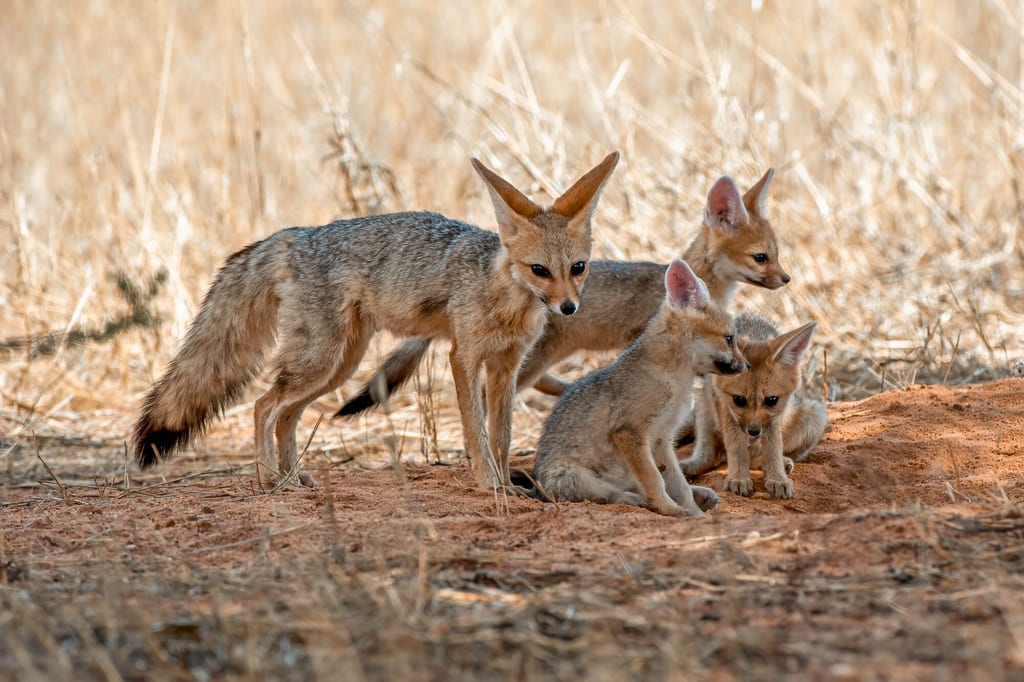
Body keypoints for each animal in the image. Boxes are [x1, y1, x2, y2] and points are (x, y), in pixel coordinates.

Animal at [132, 152, 620, 489]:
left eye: (577, 268)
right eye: (540, 271)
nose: (568, 308)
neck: (504, 298)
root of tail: (295, 235)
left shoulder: (506, 366)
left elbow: (500, 434)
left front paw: (506, 484)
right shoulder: (463, 357)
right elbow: (476, 431)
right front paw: (489, 484)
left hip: (337, 367)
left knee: (286, 415)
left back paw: (294, 478)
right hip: (320, 361)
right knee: (263, 406)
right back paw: (271, 480)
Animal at [530, 258, 748, 517]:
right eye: (730, 339)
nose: (747, 366)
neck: (675, 382)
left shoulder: (662, 439)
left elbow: (678, 484)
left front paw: (694, 512)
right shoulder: (630, 433)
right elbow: (655, 480)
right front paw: (671, 509)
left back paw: (700, 494)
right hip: (579, 478)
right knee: (609, 495)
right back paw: (636, 499)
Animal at [679, 312, 827, 499]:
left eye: (771, 400)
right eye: (738, 400)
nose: (754, 431)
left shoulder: (774, 417)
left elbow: (773, 448)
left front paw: (777, 478)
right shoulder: (726, 408)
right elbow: (736, 447)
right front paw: (739, 478)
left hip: (815, 417)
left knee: (754, 457)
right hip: (703, 407)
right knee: (711, 456)